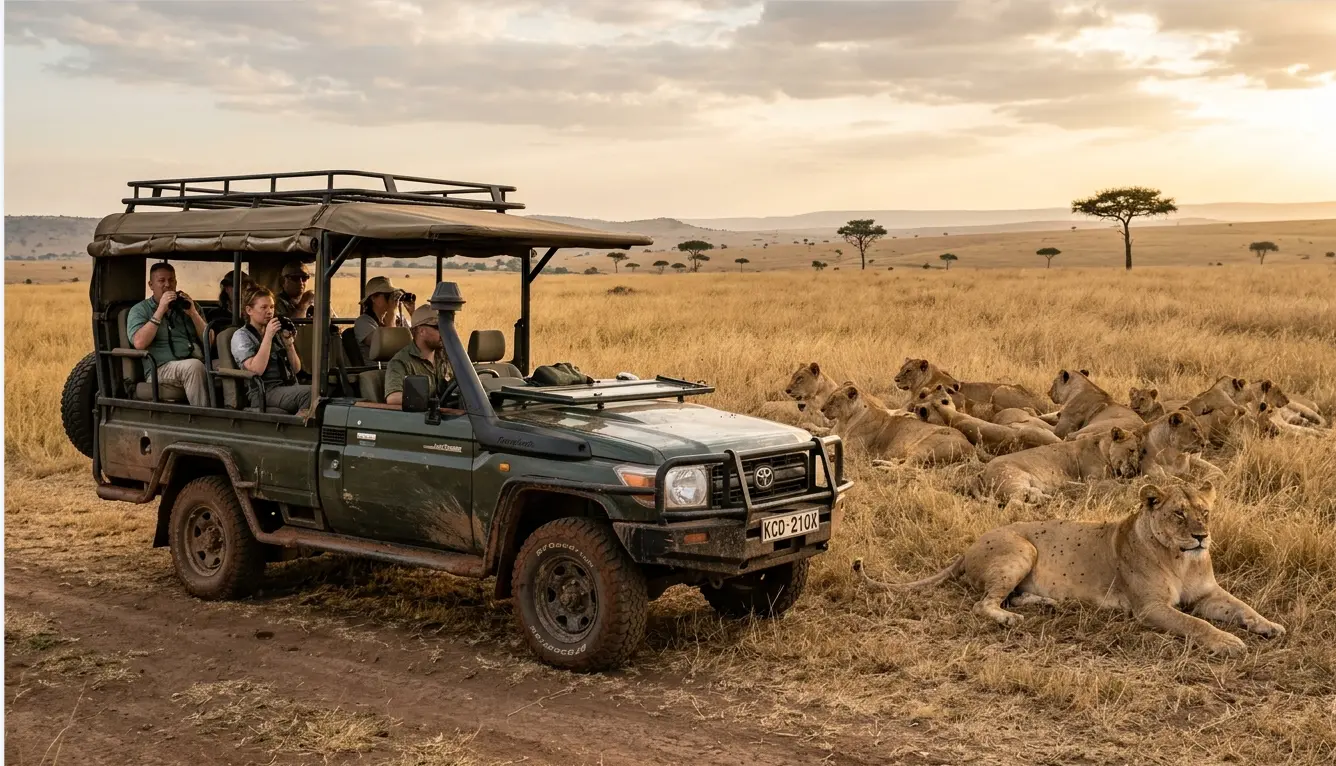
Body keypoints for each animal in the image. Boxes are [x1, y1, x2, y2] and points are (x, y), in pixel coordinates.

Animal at [820, 382, 975, 466]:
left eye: (833, 399)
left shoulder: (854, 454)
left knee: (906, 468)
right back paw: (879, 462)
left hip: (924, 448)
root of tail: (970, 447)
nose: (821, 409)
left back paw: (880, 466)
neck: (843, 422)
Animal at [852, 481, 1285, 656]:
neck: (1181, 558)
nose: (1201, 536)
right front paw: (1227, 641)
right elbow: (1195, 623)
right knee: (984, 603)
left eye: (1205, 512)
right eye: (1179, 514)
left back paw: (1047, 605)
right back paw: (1010, 619)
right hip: (1022, 549)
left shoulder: (1209, 593)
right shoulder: (1151, 608)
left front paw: (1270, 626)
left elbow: (1242, 607)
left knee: (1011, 597)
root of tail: (968, 546)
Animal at [975, 425, 1143, 506]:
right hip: (1014, 479)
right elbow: (1114, 483)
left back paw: (1051, 497)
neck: (1104, 448)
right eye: (1131, 450)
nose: (1134, 472)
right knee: (1014, 502)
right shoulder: (1092, 479)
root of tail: (980, 473)